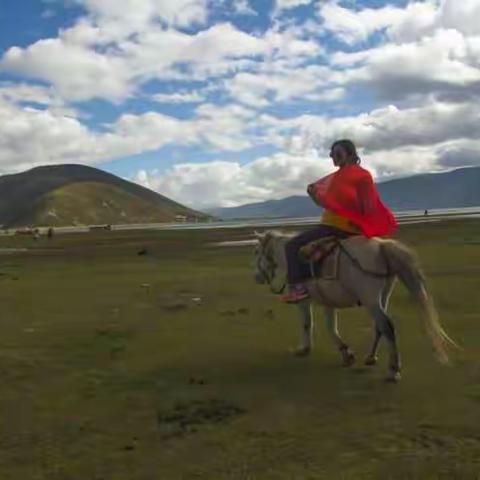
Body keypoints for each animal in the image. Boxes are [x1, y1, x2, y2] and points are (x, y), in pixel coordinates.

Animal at [253, 230, 456, 382]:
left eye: (256, 252)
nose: (256, 277)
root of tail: (381, 246)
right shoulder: (329, 302)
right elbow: (331, 327)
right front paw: (346, 354)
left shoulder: (304, 301)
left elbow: (307, 323)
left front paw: (305, 349)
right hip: (382, 296)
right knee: (380, 326)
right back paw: (371, 357)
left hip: (370, 300)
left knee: (387, 326)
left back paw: (393, 370)